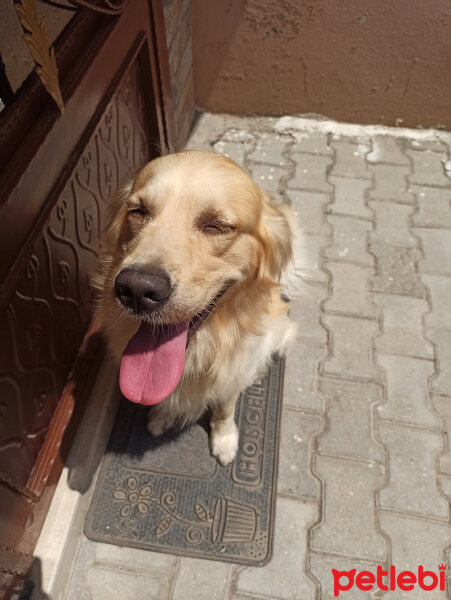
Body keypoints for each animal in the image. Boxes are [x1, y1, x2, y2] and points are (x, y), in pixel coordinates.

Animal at [94, 149, 302, 464]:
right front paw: (161, 416)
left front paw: (225, 439)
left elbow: (225, 409)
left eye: (216, 226)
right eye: (138, 211)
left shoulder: (233, 374)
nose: (136, 289)